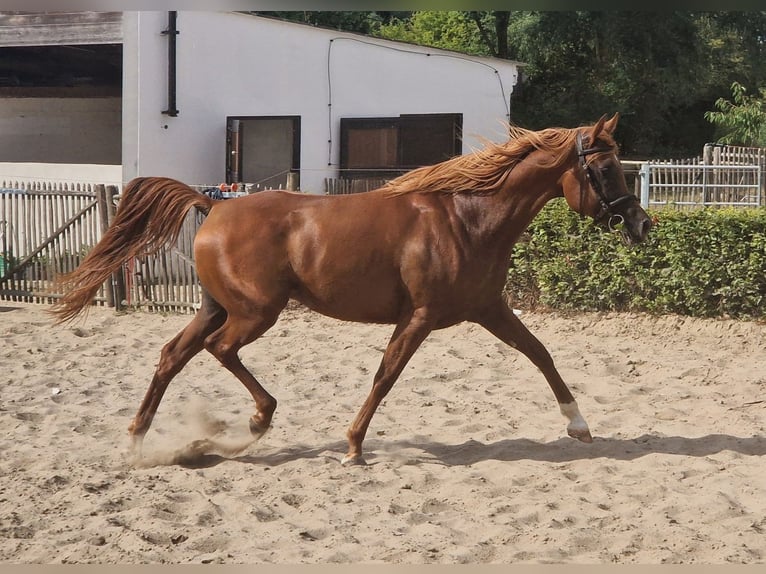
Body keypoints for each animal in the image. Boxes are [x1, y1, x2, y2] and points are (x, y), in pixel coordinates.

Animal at [50, 113, 652, 466]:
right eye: (606, 169)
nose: (643, 225)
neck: (466, 218)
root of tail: (215, 205)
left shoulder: (489, 309)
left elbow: (540, 353)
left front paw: (579, 424)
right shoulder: (420, 317)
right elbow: (386, 376)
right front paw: (354, 447)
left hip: (218, 307)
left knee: (172, 355)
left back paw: (138, 441)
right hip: (255, 312)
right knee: (220, 351)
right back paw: (256, 421)